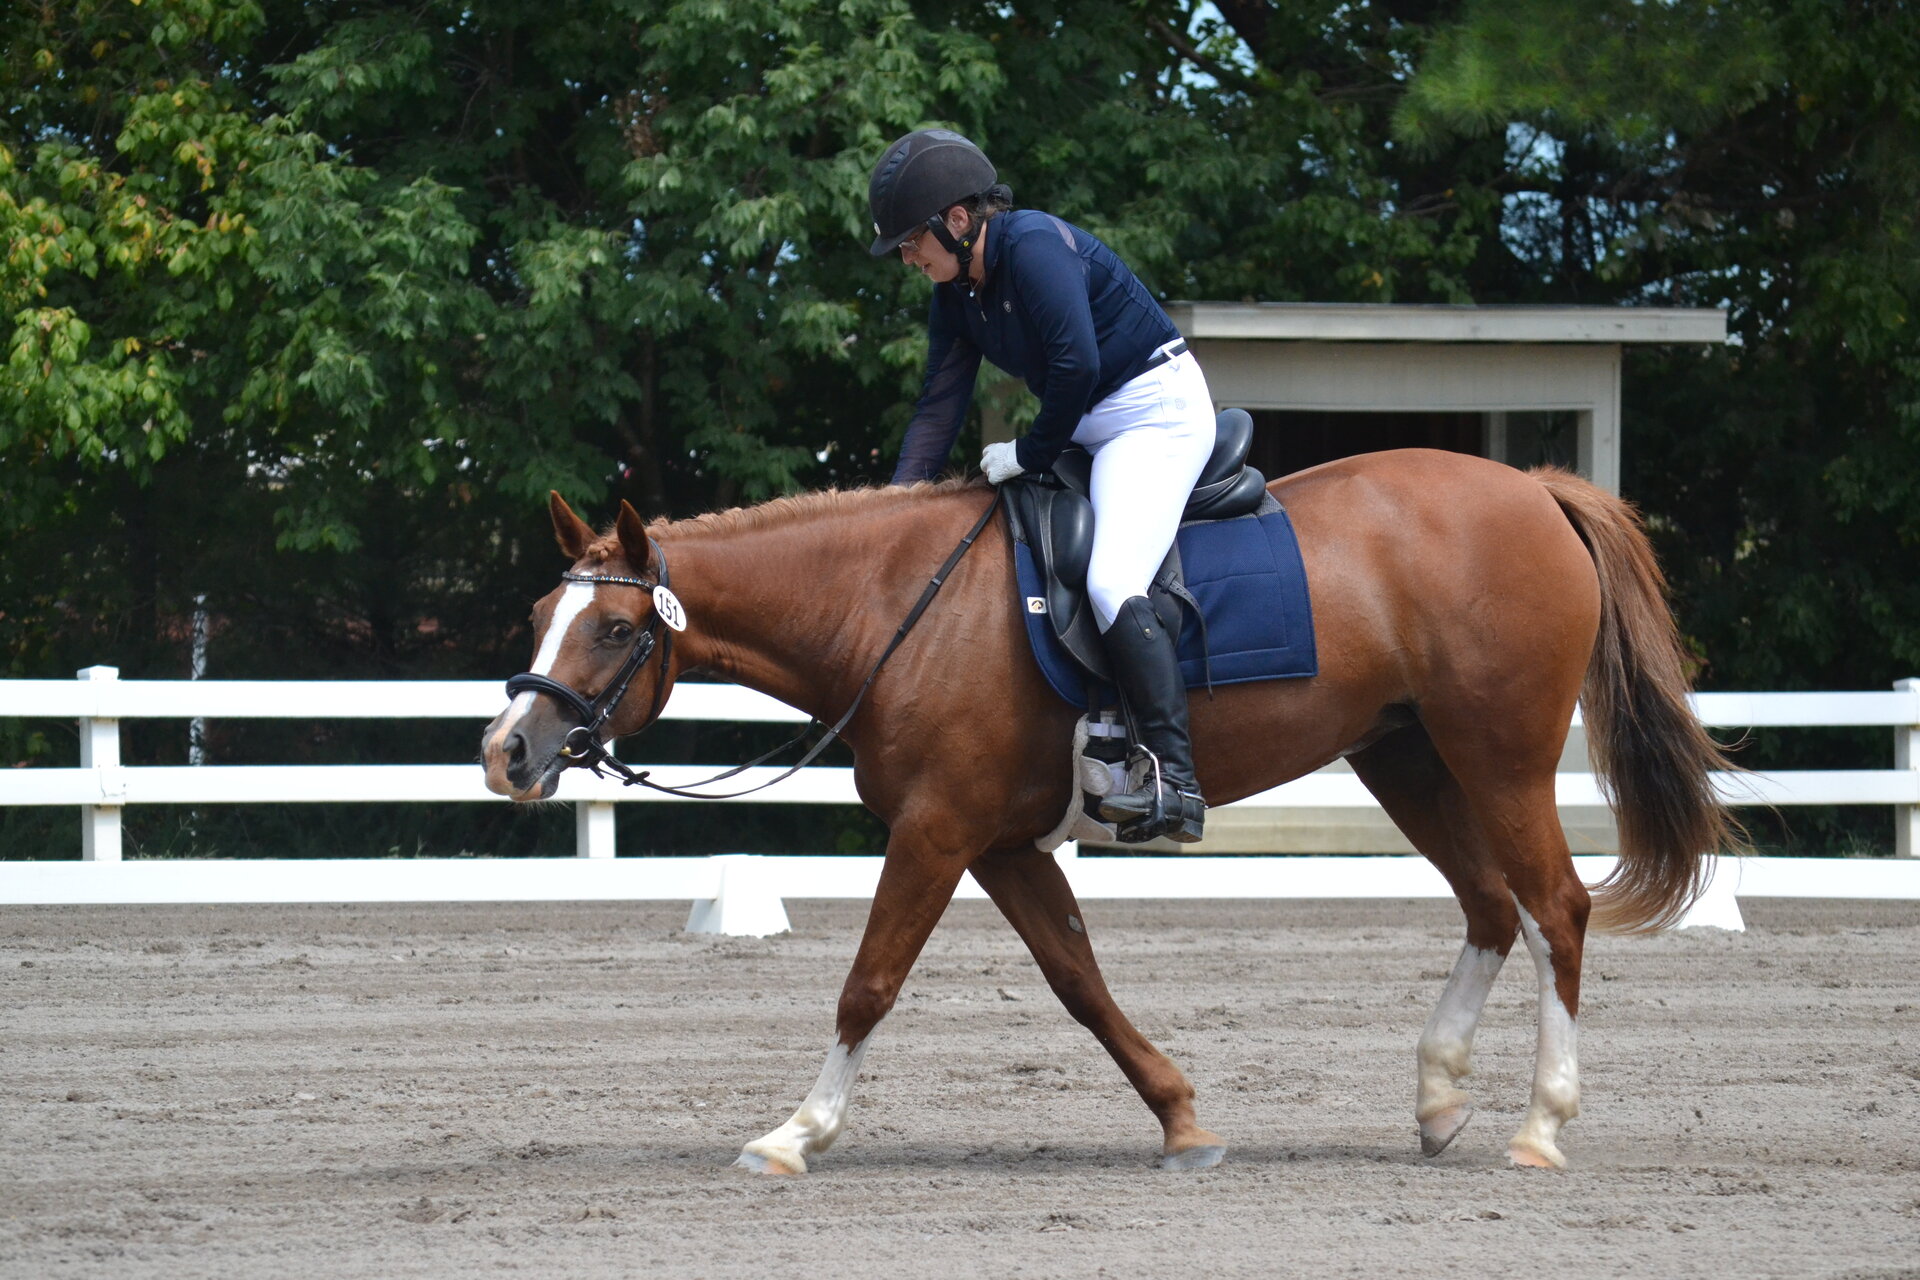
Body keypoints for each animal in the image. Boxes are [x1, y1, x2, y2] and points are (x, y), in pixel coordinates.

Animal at [480, 448, 1738, 1174]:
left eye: (610, 628)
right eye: (540, 612)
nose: (507, 752)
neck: (891, 605)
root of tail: (1530, 484)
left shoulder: (936, 829)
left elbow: (869, 981)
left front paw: (796, 1132)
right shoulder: (993, 840)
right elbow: (1079, 978)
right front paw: (1183, 1117)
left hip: (1501, 755)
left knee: (1554, 906)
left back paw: (1541, 1124)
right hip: (1408, 757)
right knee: (1488, 903)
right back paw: (1437, 1098)